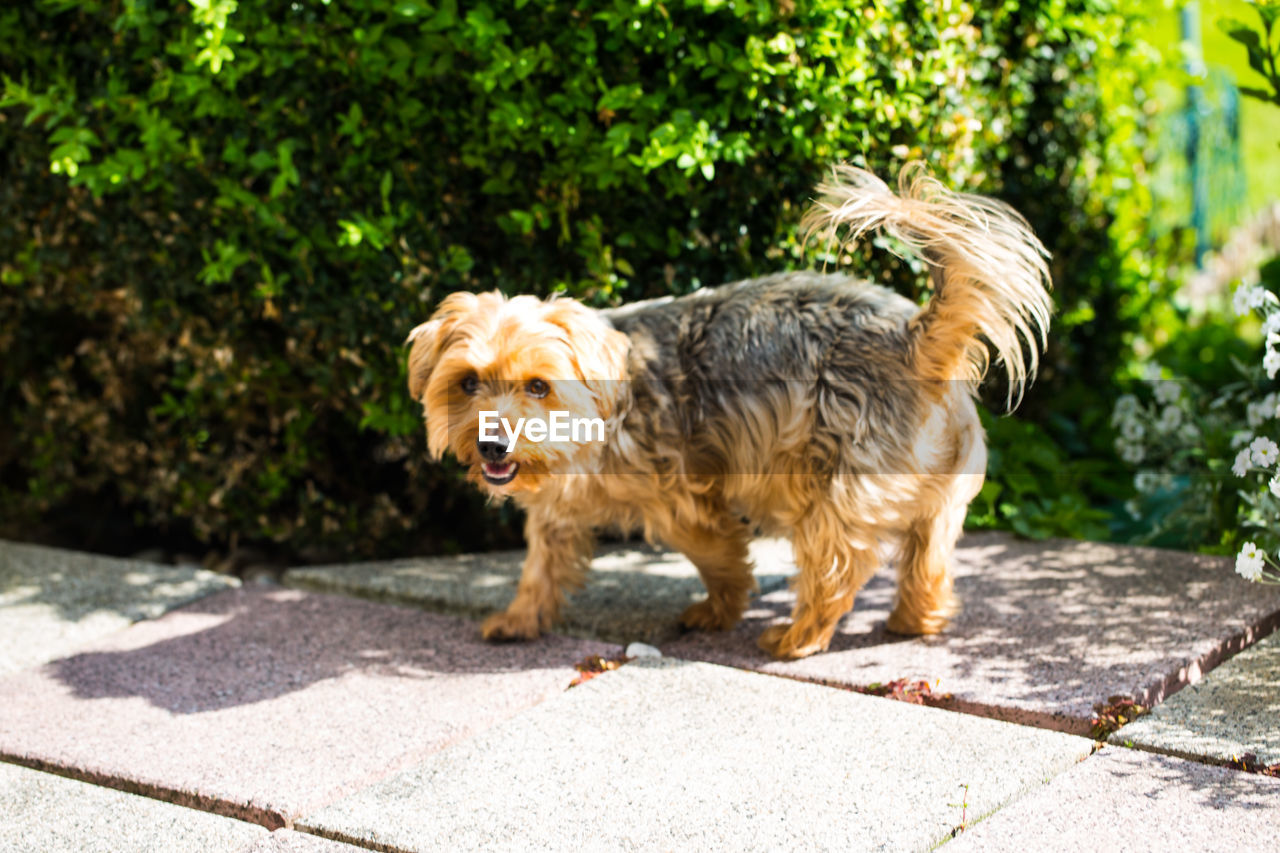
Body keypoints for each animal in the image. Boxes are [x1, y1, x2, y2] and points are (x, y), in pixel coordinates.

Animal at [407, 163, 1049, 655]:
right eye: (468, 382)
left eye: (538, 386)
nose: (492, 444)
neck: (600, 414)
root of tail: (913, 338)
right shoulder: (556, 509)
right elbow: (541, 565)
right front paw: (521, 618)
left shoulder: (682, 501)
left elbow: (718, 555)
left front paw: (721, 609)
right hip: (940, 487)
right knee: (928, 554)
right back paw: (916, 618)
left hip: (834, 489)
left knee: (837, 565)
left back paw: (798, 636)